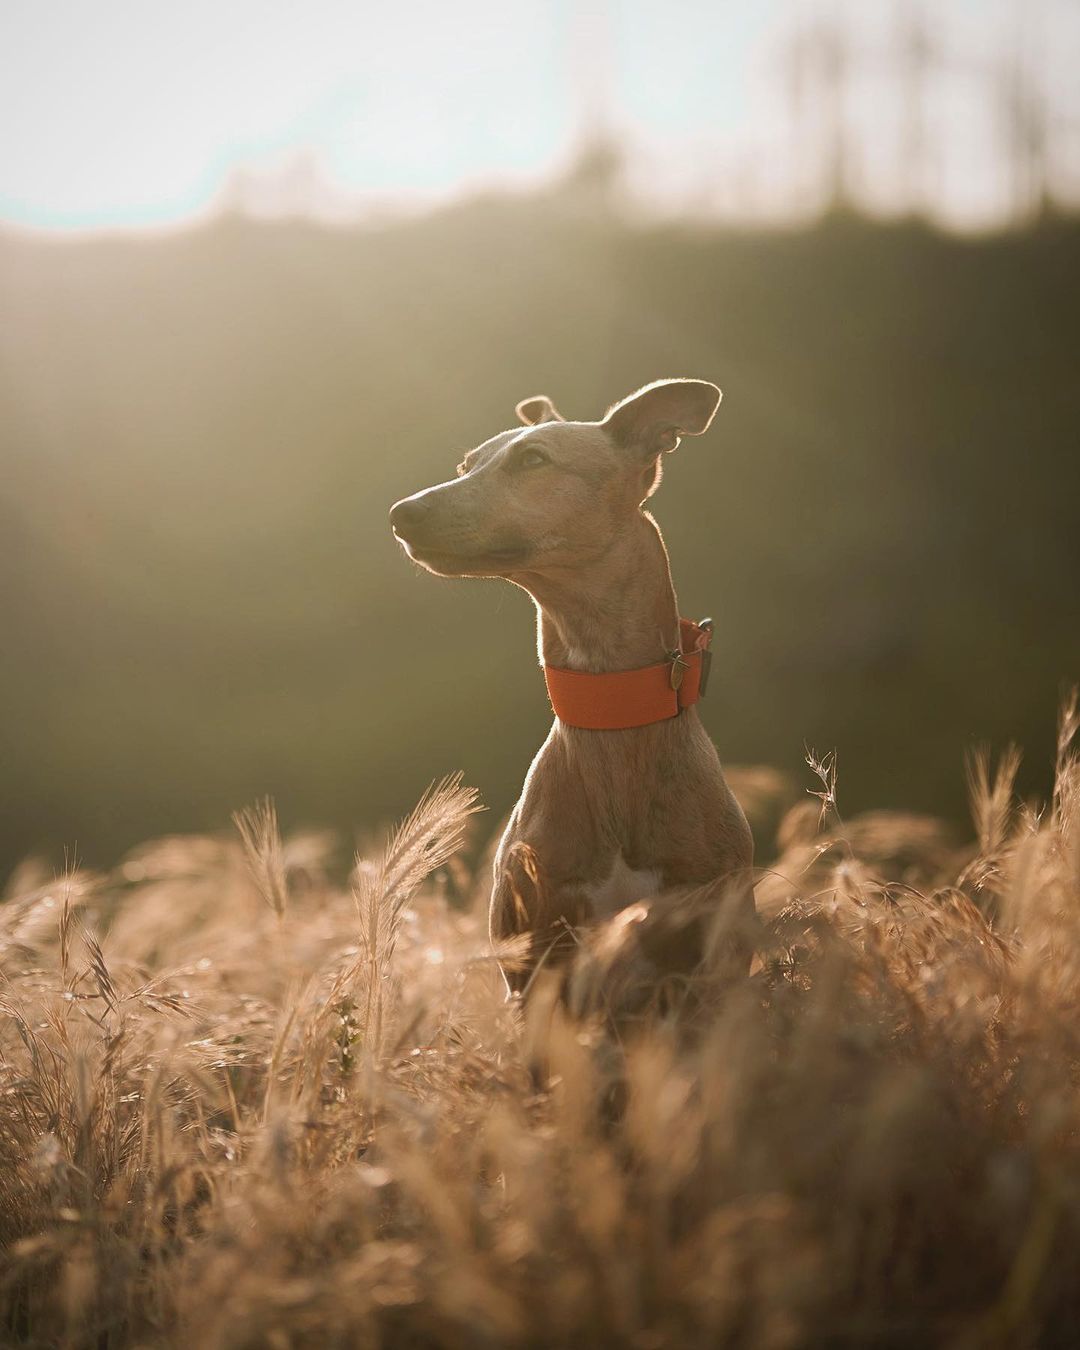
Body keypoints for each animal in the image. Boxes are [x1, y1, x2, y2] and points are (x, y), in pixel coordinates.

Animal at [391, 380, 756, 1004]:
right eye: (467, 465)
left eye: (533, 459)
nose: (401, 513)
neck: (613, 718)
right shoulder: (535, 967)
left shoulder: (709, 961)